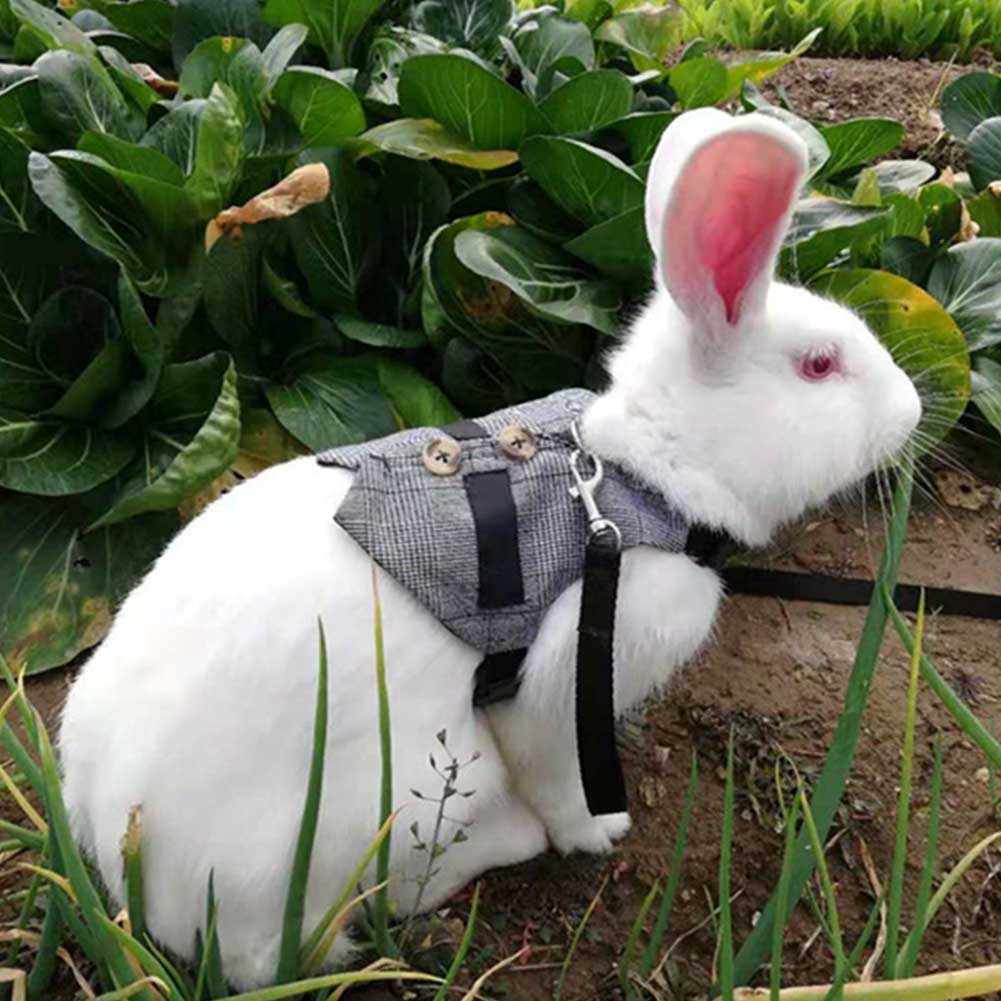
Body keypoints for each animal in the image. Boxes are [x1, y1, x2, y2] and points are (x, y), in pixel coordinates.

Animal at [58, 107, 922, 990]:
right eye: (818, 365)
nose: (913, 410)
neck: (640, 478)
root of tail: (129, 859)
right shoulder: (571, 674)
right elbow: (560, 779)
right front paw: (598, 831)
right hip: (398, 799)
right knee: (303, 940)